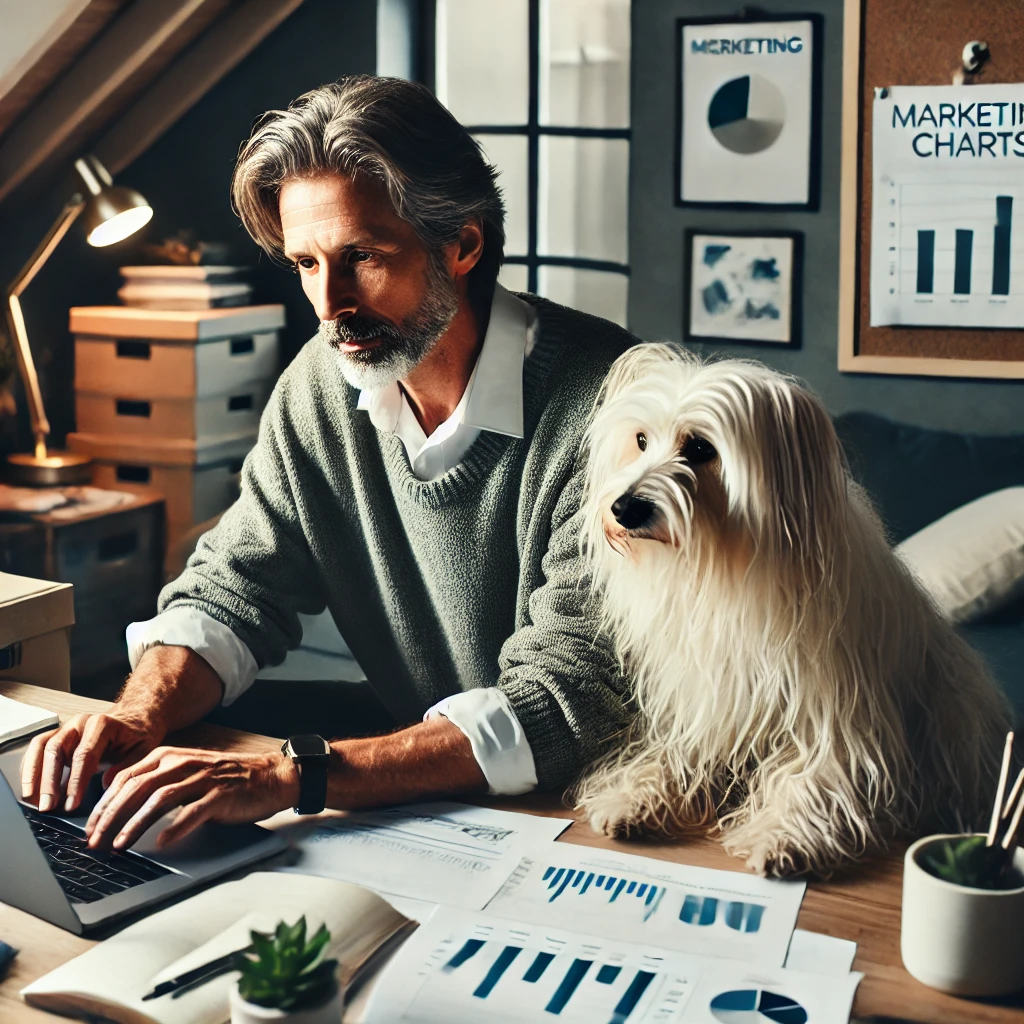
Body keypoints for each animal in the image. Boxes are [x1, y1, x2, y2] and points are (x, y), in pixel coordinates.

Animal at [577, 344, 1007, 872]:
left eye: (700, 449)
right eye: (640, 440)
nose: (625, 507)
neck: (723, 567)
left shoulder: (836, 716)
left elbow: (816, 775)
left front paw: (782, 834)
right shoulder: (709, 701)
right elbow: (674, 754)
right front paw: (635, 796)